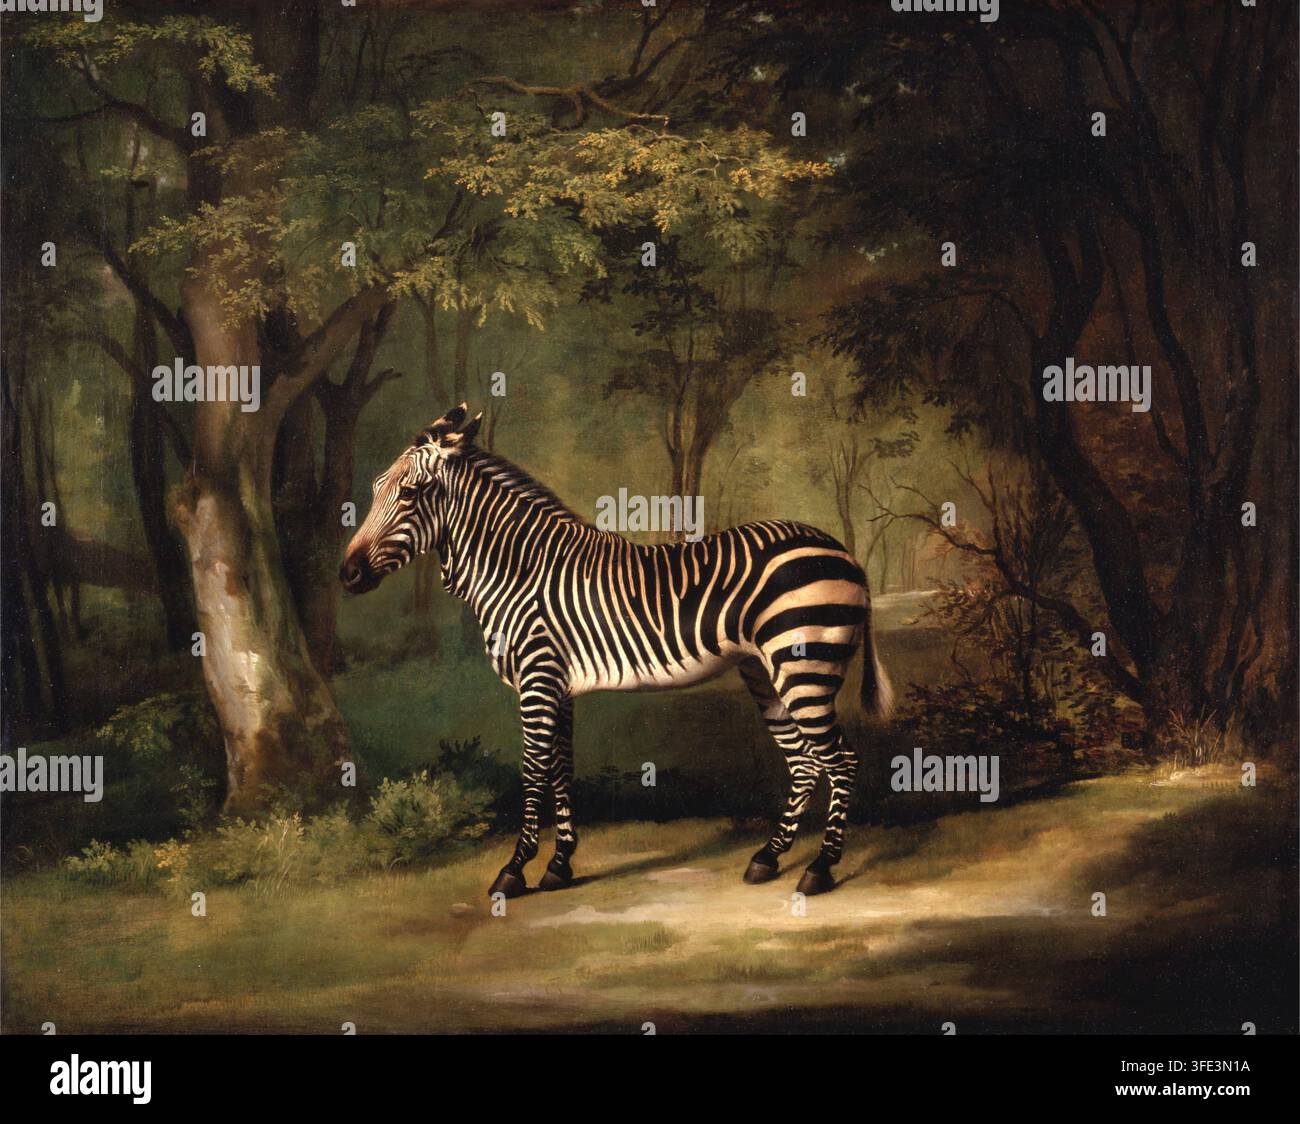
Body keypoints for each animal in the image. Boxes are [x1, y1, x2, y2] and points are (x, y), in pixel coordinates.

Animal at [340, 404, 893, 899]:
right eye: (375, 490)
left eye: (411, 493)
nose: (346, 574)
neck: (518, 569)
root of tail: (844, 551)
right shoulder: (558, 686)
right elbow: (561, 771)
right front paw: (559, 865)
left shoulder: (537, 679)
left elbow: (533, 773)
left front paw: (514, 870)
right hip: (766, 672)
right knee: (804, 763)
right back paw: (768, 858)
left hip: (803, 666)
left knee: (840, 761)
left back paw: (820, 868)